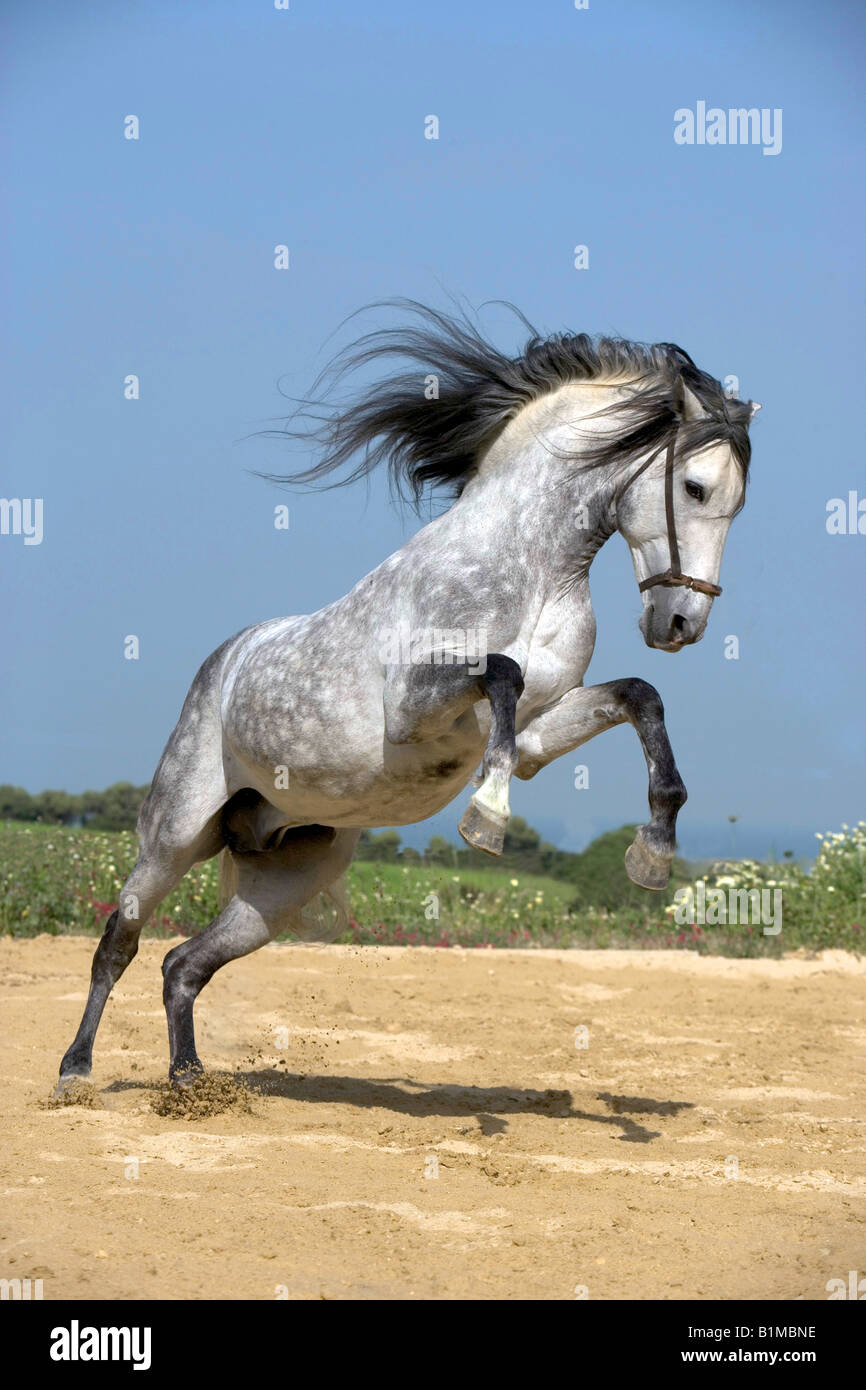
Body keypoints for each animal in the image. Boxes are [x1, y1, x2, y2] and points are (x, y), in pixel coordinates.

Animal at [56, 301, 759, 1089]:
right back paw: (76, 1071)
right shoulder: (418, 706)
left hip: (288, 880)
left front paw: (654, 851)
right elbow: (503, 673)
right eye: (696, 489)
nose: (682, 624)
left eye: (738, 503)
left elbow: (640, 696)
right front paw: (487, 818)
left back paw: (188, 1083)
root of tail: (223, 662)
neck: (535, 569)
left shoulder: (540, 732)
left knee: (184, 964)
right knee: (121, 939)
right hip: (177, 832)